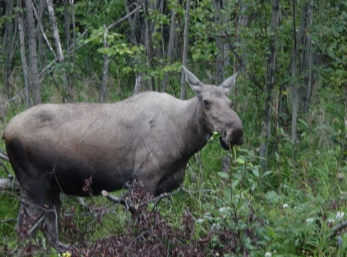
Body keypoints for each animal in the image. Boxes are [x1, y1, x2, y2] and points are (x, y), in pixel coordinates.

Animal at [2, 65, 245, 248]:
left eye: (230, 103)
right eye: (206, 102)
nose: (236, 132)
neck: (184, 143)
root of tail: (6, 131)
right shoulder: (143, 180)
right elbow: (141, 229)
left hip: (51, 187)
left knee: (47, 231)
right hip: (33, 183)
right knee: (24, 230)